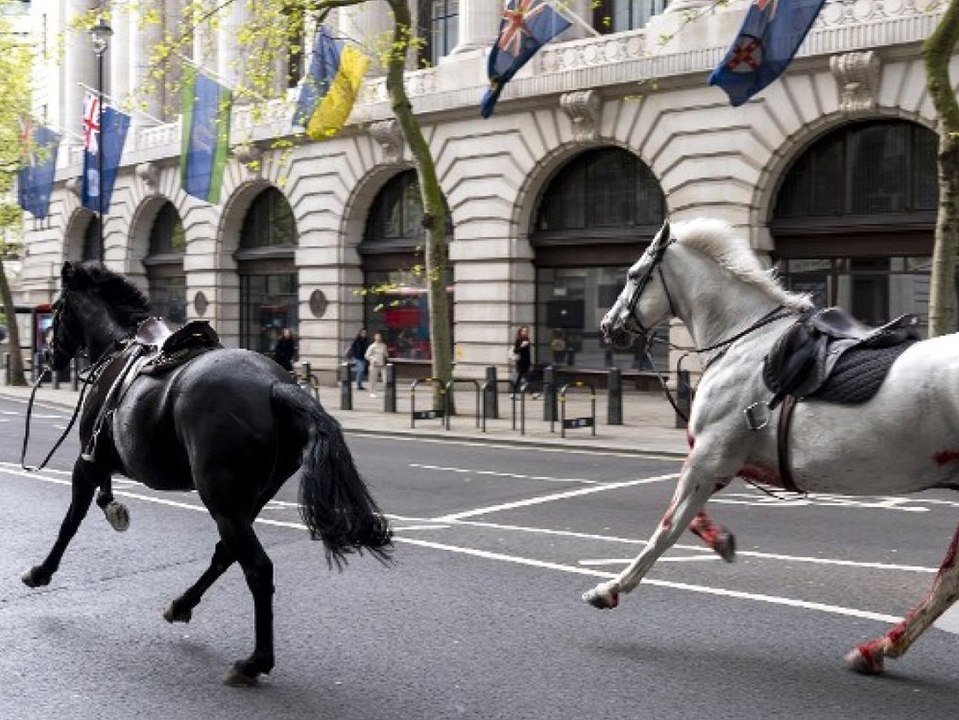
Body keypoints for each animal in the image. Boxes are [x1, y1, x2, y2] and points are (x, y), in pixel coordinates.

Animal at [22, 261, 392, 685]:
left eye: (57, 309)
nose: (47, 356)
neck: (119, 345)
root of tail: (277, 385)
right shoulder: (102, 460)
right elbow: (100, 496)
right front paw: (113, 509)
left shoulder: (88, 460)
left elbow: (70, 522)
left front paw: (41, 571)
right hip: (247, 500)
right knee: (225, 554)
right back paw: (182, 605)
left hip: (222, 500)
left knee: (257, 568)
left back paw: (254, 661)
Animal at [587, 217, 959, 676]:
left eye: (634, 274)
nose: (609, 327)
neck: (742, 342)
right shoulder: (719, 460)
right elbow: (688, 519)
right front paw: (720, 540)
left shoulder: (709, 456)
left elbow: (667, 528)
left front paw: (611, 589)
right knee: (949, 580)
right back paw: (879, 648)